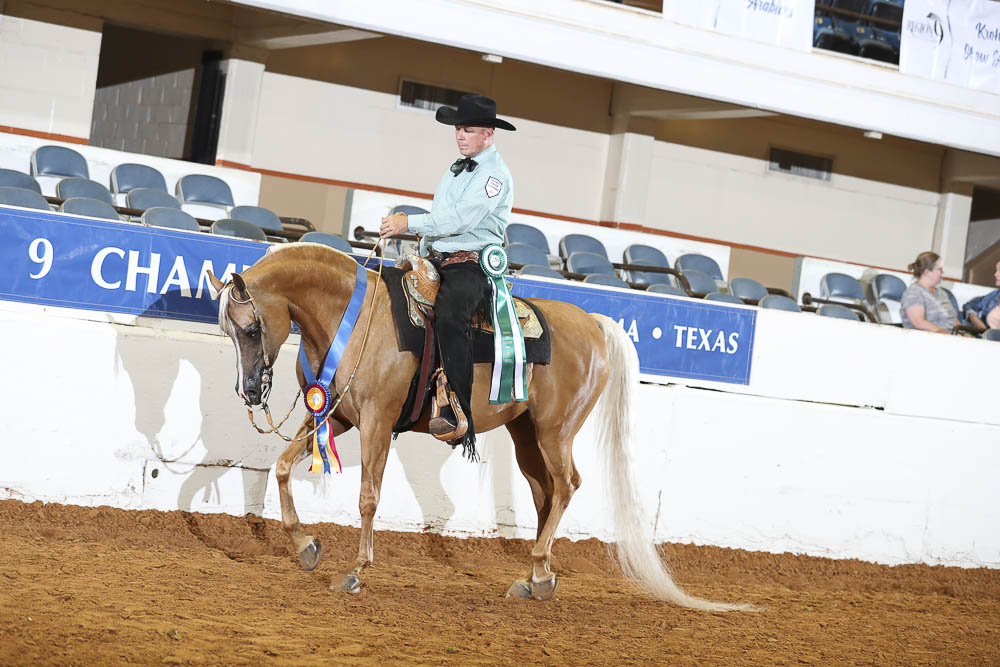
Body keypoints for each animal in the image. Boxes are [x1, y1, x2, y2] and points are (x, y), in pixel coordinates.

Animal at [209, 243, 746, 611]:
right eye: (227, 332)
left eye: (251, 328)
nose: (250, 391)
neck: (356, 318)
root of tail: (592, 322)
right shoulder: (335, 416)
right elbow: (281, 467)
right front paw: (306, 547)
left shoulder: (377, 423)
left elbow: (368, 497)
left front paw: (357, 570)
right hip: (525, 435)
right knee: (545, 492)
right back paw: (536, 578)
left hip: (555, 431)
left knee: (567, 485)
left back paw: (539, 573)